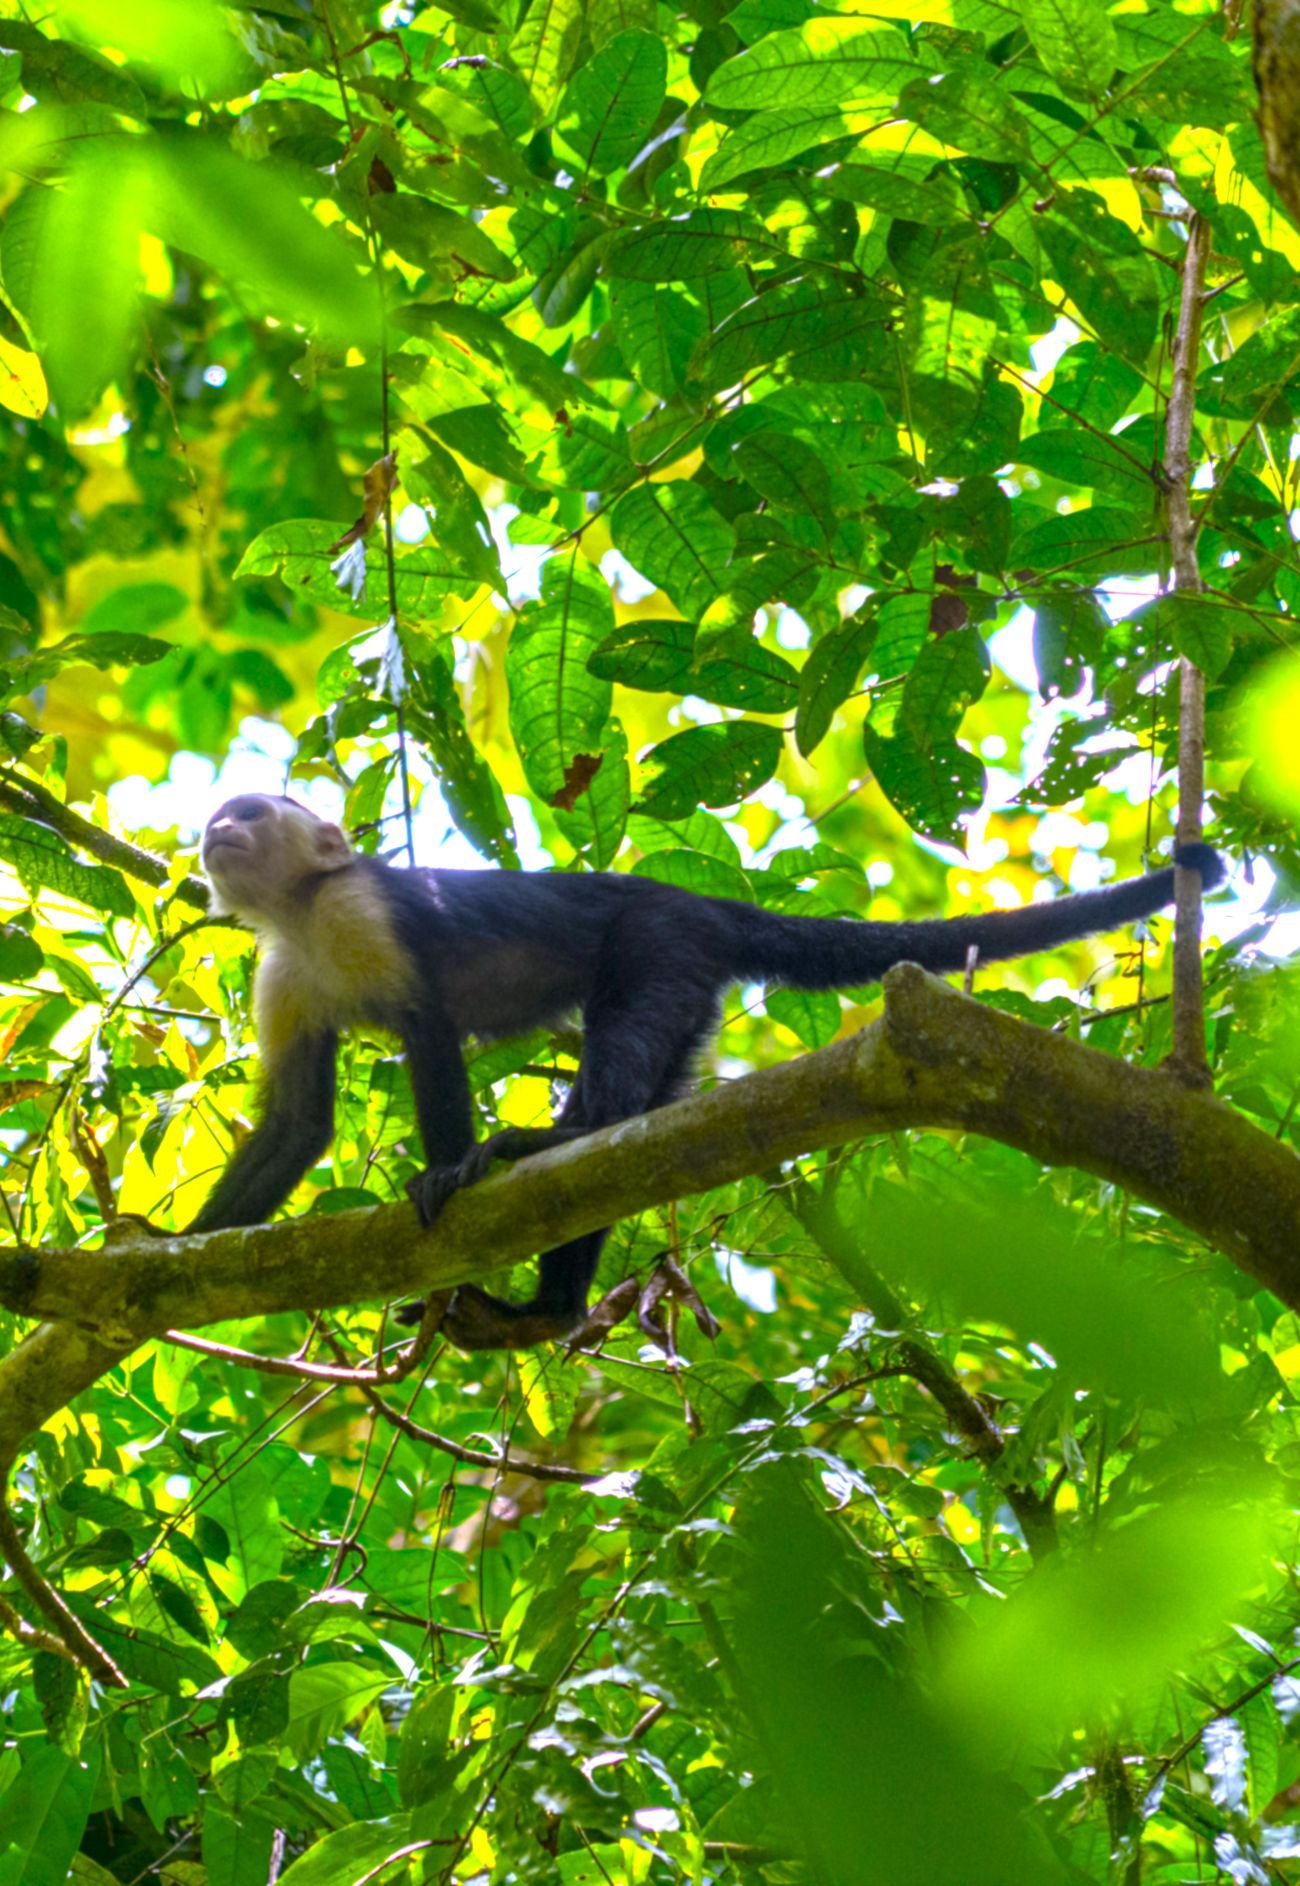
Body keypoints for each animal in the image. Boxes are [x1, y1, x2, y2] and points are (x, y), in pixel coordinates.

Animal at [189, 792, 1225, 1350]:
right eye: (226, 812)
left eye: (254, 813)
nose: (216, 825)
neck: (301, 910)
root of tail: (701, 903)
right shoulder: (284, 972)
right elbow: (297, 1125)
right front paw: (158, 1257)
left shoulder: (362, 910)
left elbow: (430, 1029)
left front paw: (447, 1178)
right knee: (611, 1158)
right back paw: (548, 1310)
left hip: (664, 940)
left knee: (618, 1057)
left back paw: (555, 1142)